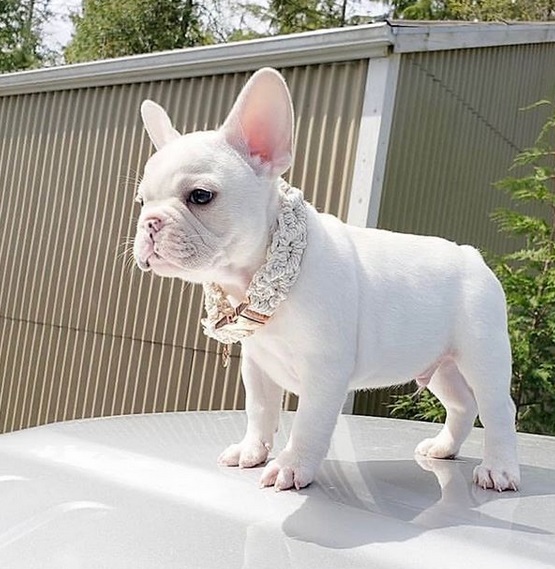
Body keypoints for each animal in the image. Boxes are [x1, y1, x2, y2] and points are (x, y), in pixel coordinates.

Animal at [134, 66, 520, 490]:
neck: (260, 273)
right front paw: (251, 451)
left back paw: (500, 469)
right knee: (462, 404)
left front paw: (291, 466)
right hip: (439, 364)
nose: (149, 223)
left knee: (498, 408)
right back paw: (443, 448)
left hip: (482, 354)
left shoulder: (324, 370)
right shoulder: (257, 365)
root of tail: (472, 256)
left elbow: (308, 424)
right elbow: (260, 410)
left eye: (201, 196)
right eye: (141, 201)